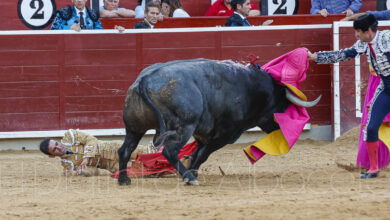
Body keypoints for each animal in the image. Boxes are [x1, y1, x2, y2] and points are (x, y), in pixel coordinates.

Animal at [117, 58, 318, 186]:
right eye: (284, 105)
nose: (283, 130)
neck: (251, 87)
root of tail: (144, 80)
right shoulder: (225, 134)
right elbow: (202, 154)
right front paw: (192, 173)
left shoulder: (202, 134)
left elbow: (196, 154)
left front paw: (192, 169)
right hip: (184, 127)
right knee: (170, 151)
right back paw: (190, 178)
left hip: (134, 128)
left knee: (125, 149)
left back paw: (123, 180)